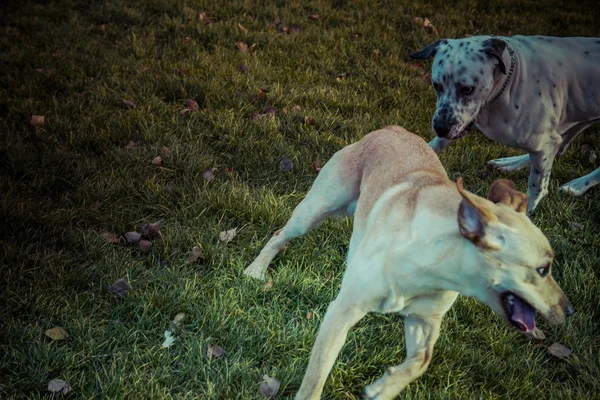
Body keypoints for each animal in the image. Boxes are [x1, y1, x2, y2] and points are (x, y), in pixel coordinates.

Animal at [243, 126, 572, 400]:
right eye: (543, 269)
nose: (568, 309)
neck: (433, 266)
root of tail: (392, 128)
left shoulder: (424, 320)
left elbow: (421, 361)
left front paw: (384, 387)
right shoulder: (342, 311)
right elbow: (316, 377)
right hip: (316, 208)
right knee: (279, 235)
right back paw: (256, 270)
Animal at [410, 36, 600, 214]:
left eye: (467, 89)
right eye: (436, 85)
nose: (440, 128)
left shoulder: (546, 143)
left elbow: (536, 188)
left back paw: (578, 185)